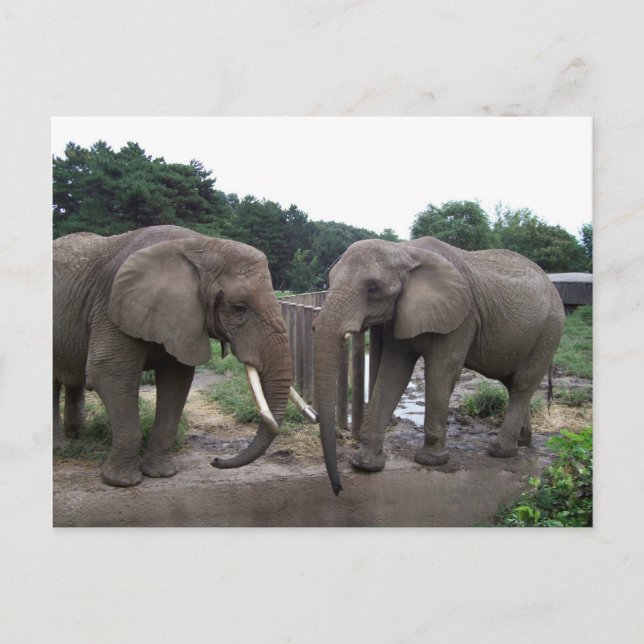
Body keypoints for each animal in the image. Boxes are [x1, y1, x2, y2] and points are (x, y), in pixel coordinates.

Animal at [53, 225, 292, 487]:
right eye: (239, 308)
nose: (215, 460)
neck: (202, 245)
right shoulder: (111, 305)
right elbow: (108, 373)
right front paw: (122, 482)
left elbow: (176, 382)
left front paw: (161, 473)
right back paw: (59, 449)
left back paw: (75, 437)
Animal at [313, 236, 565, 495]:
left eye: (373, 288)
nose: (338, 488)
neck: (404, 250)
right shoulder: (401, 314)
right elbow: (393, 374)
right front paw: (364, 464)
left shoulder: (462, 318)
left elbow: (441, 372)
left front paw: (430, 461)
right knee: (512, 382)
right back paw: (523, 442)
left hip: (550, 330)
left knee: (522, 384)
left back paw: (500, 451)